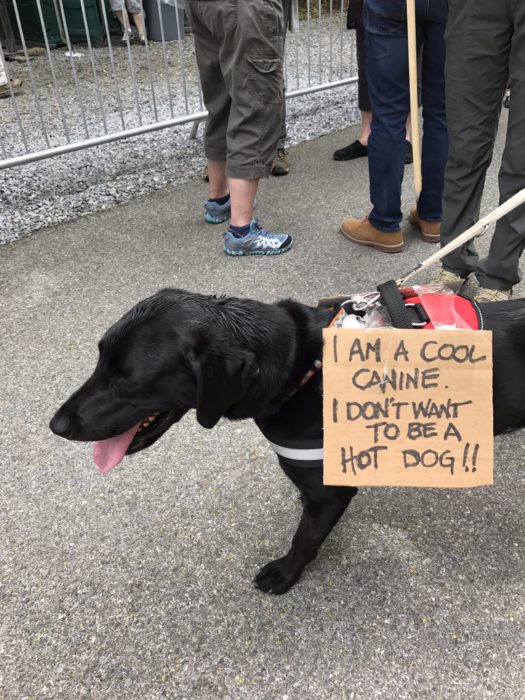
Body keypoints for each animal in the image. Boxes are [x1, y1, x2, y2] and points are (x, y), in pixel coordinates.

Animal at [51, 288, 524, 592]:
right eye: (99, 359)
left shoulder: (330, 490)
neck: (302, 367)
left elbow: (304, 539)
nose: (56, 425)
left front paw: (284, 574)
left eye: (126, 378)